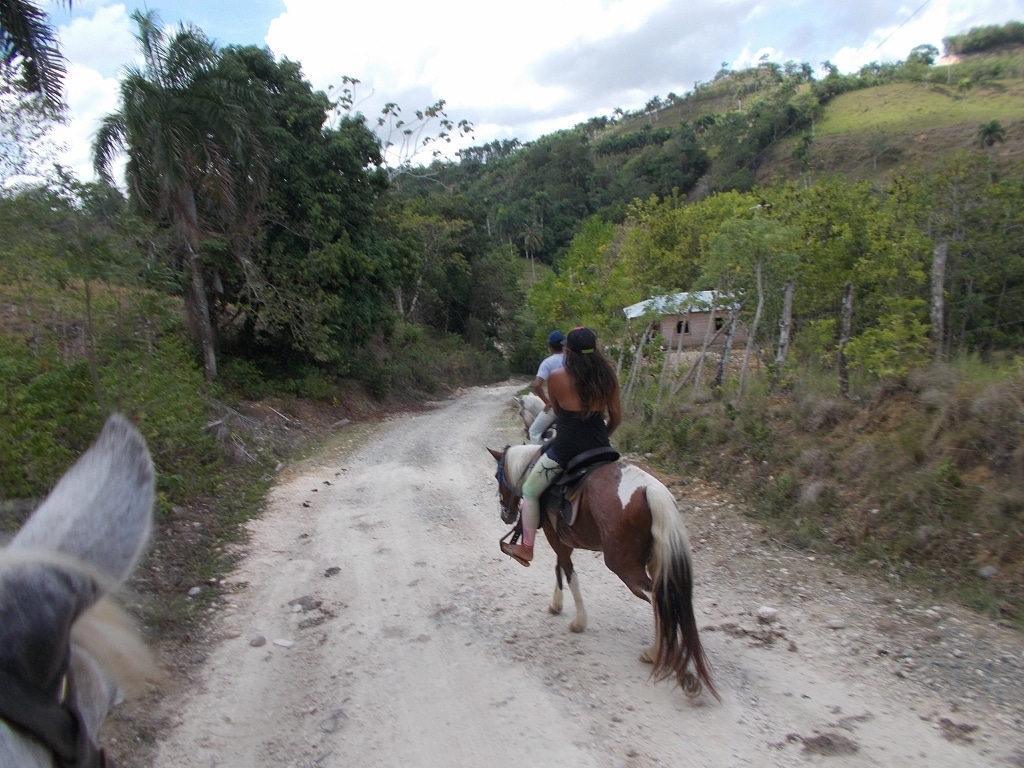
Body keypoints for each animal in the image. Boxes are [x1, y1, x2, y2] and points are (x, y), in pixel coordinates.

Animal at [487, 443, 718, 700]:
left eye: (497, 476)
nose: (505, 515)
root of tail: (650, 488)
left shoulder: (552, 533)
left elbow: (568, 572)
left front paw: (578, 621)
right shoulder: (561, 537)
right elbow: (560, 567)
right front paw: (556, 604)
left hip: (623, 566)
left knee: (657, 599)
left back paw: (670, 662)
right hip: (657, 560)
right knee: (665, 599)